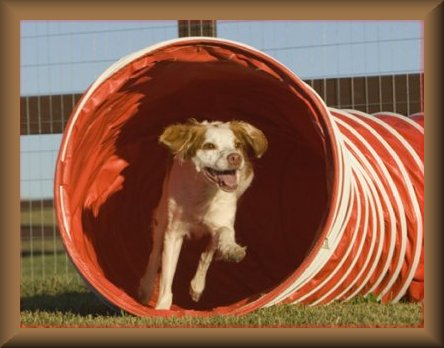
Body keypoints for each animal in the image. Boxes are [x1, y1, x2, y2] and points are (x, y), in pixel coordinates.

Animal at [137, 118, 268, 308]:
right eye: (209, 146)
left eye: (237, 145)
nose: (235, 157)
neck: (204, 193)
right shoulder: (174, 232)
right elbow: (166, 276)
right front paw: (162, 307)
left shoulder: (222, 220)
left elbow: (220, 240)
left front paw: (232, 250)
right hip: (162, 211)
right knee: (155, 253)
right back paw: (146, 288)